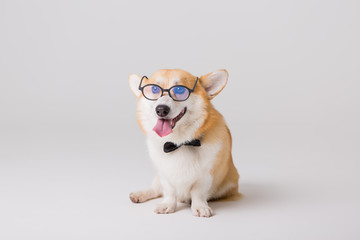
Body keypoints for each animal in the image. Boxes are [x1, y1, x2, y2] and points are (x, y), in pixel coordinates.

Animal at [129, 68, 239, 217]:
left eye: (180, 90)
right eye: (154, 89)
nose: (161, 109)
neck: (178, 142)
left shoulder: (205, 175)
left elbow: (198, 192)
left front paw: (199, 207)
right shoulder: (165, 174)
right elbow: (169, 191)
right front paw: (168, 205)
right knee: (156, 189)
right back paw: (140, 194)